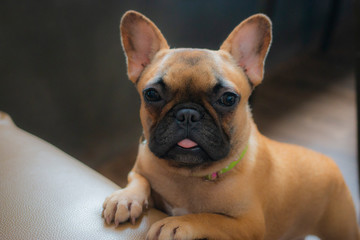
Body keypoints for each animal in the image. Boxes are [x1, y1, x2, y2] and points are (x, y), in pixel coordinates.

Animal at [102, 10, 358, 239]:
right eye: (152, 94)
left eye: (228, 99)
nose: (187, 114)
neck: (188, 175)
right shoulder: (140, 170)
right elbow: (139, 179)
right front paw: (125, 198)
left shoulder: (249, 225)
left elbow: (209, 217)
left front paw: (177, 224)